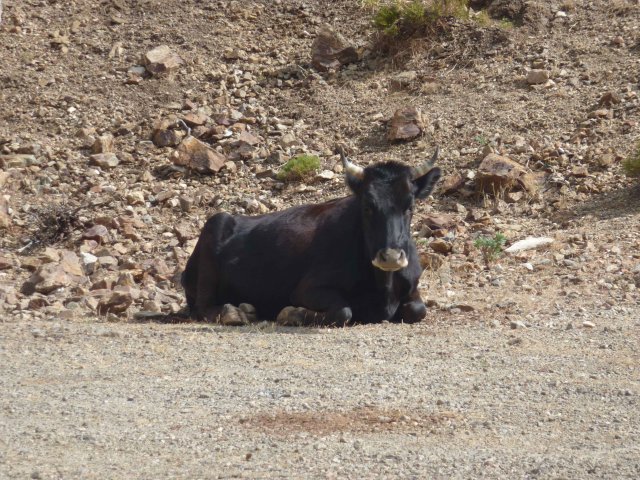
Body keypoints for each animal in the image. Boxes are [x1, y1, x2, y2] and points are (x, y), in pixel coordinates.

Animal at [180, 149, 440, 326]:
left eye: (410, 206)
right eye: (367, 206)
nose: (391, 257)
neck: (383, 289)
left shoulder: (413, 288)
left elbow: (419, 310)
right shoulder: (306, 289)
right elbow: (343, 311)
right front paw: (291, 313)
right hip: (214, 229)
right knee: (203, 307)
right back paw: (237, 312)